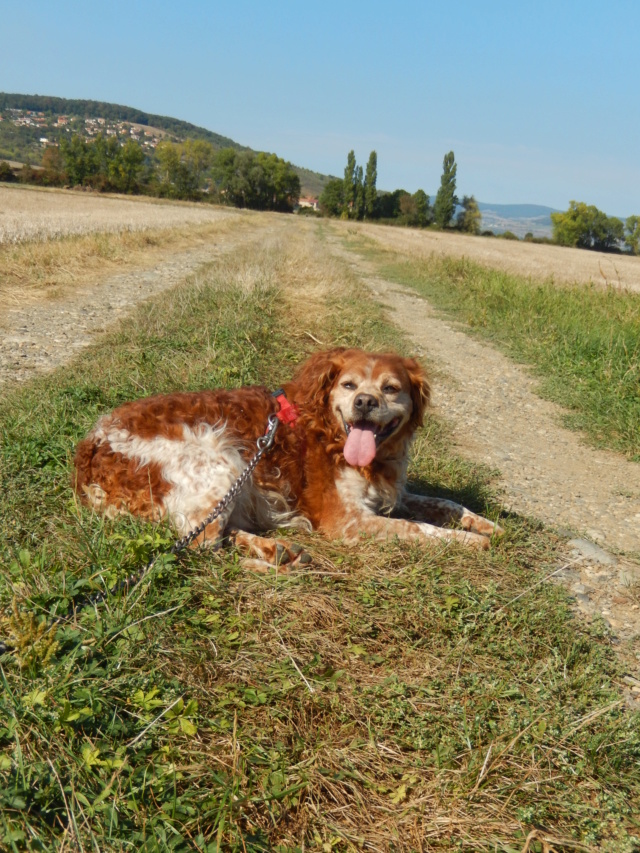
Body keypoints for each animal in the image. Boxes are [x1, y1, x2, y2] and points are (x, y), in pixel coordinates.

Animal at [75, 346, 502, 564]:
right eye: (349, 385)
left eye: (391, 388)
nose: (365, 402)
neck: (329, 430)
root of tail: (91, 446)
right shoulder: (347, 521)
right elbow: (419, 529)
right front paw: (468, 542)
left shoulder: (394, 494)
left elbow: (443, 503)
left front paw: (483, 524)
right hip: (222, 456)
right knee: (201, 542)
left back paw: (277, 549)